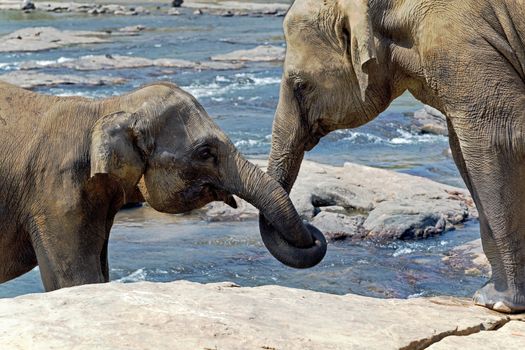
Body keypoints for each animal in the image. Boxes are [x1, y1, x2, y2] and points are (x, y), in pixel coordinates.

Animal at [260, 0, 524, 314]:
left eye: (300, 85)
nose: (315, 234)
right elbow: (462, 151)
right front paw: (489, 296)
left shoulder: (465, 47)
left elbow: (497, 141)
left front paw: (499, 303)